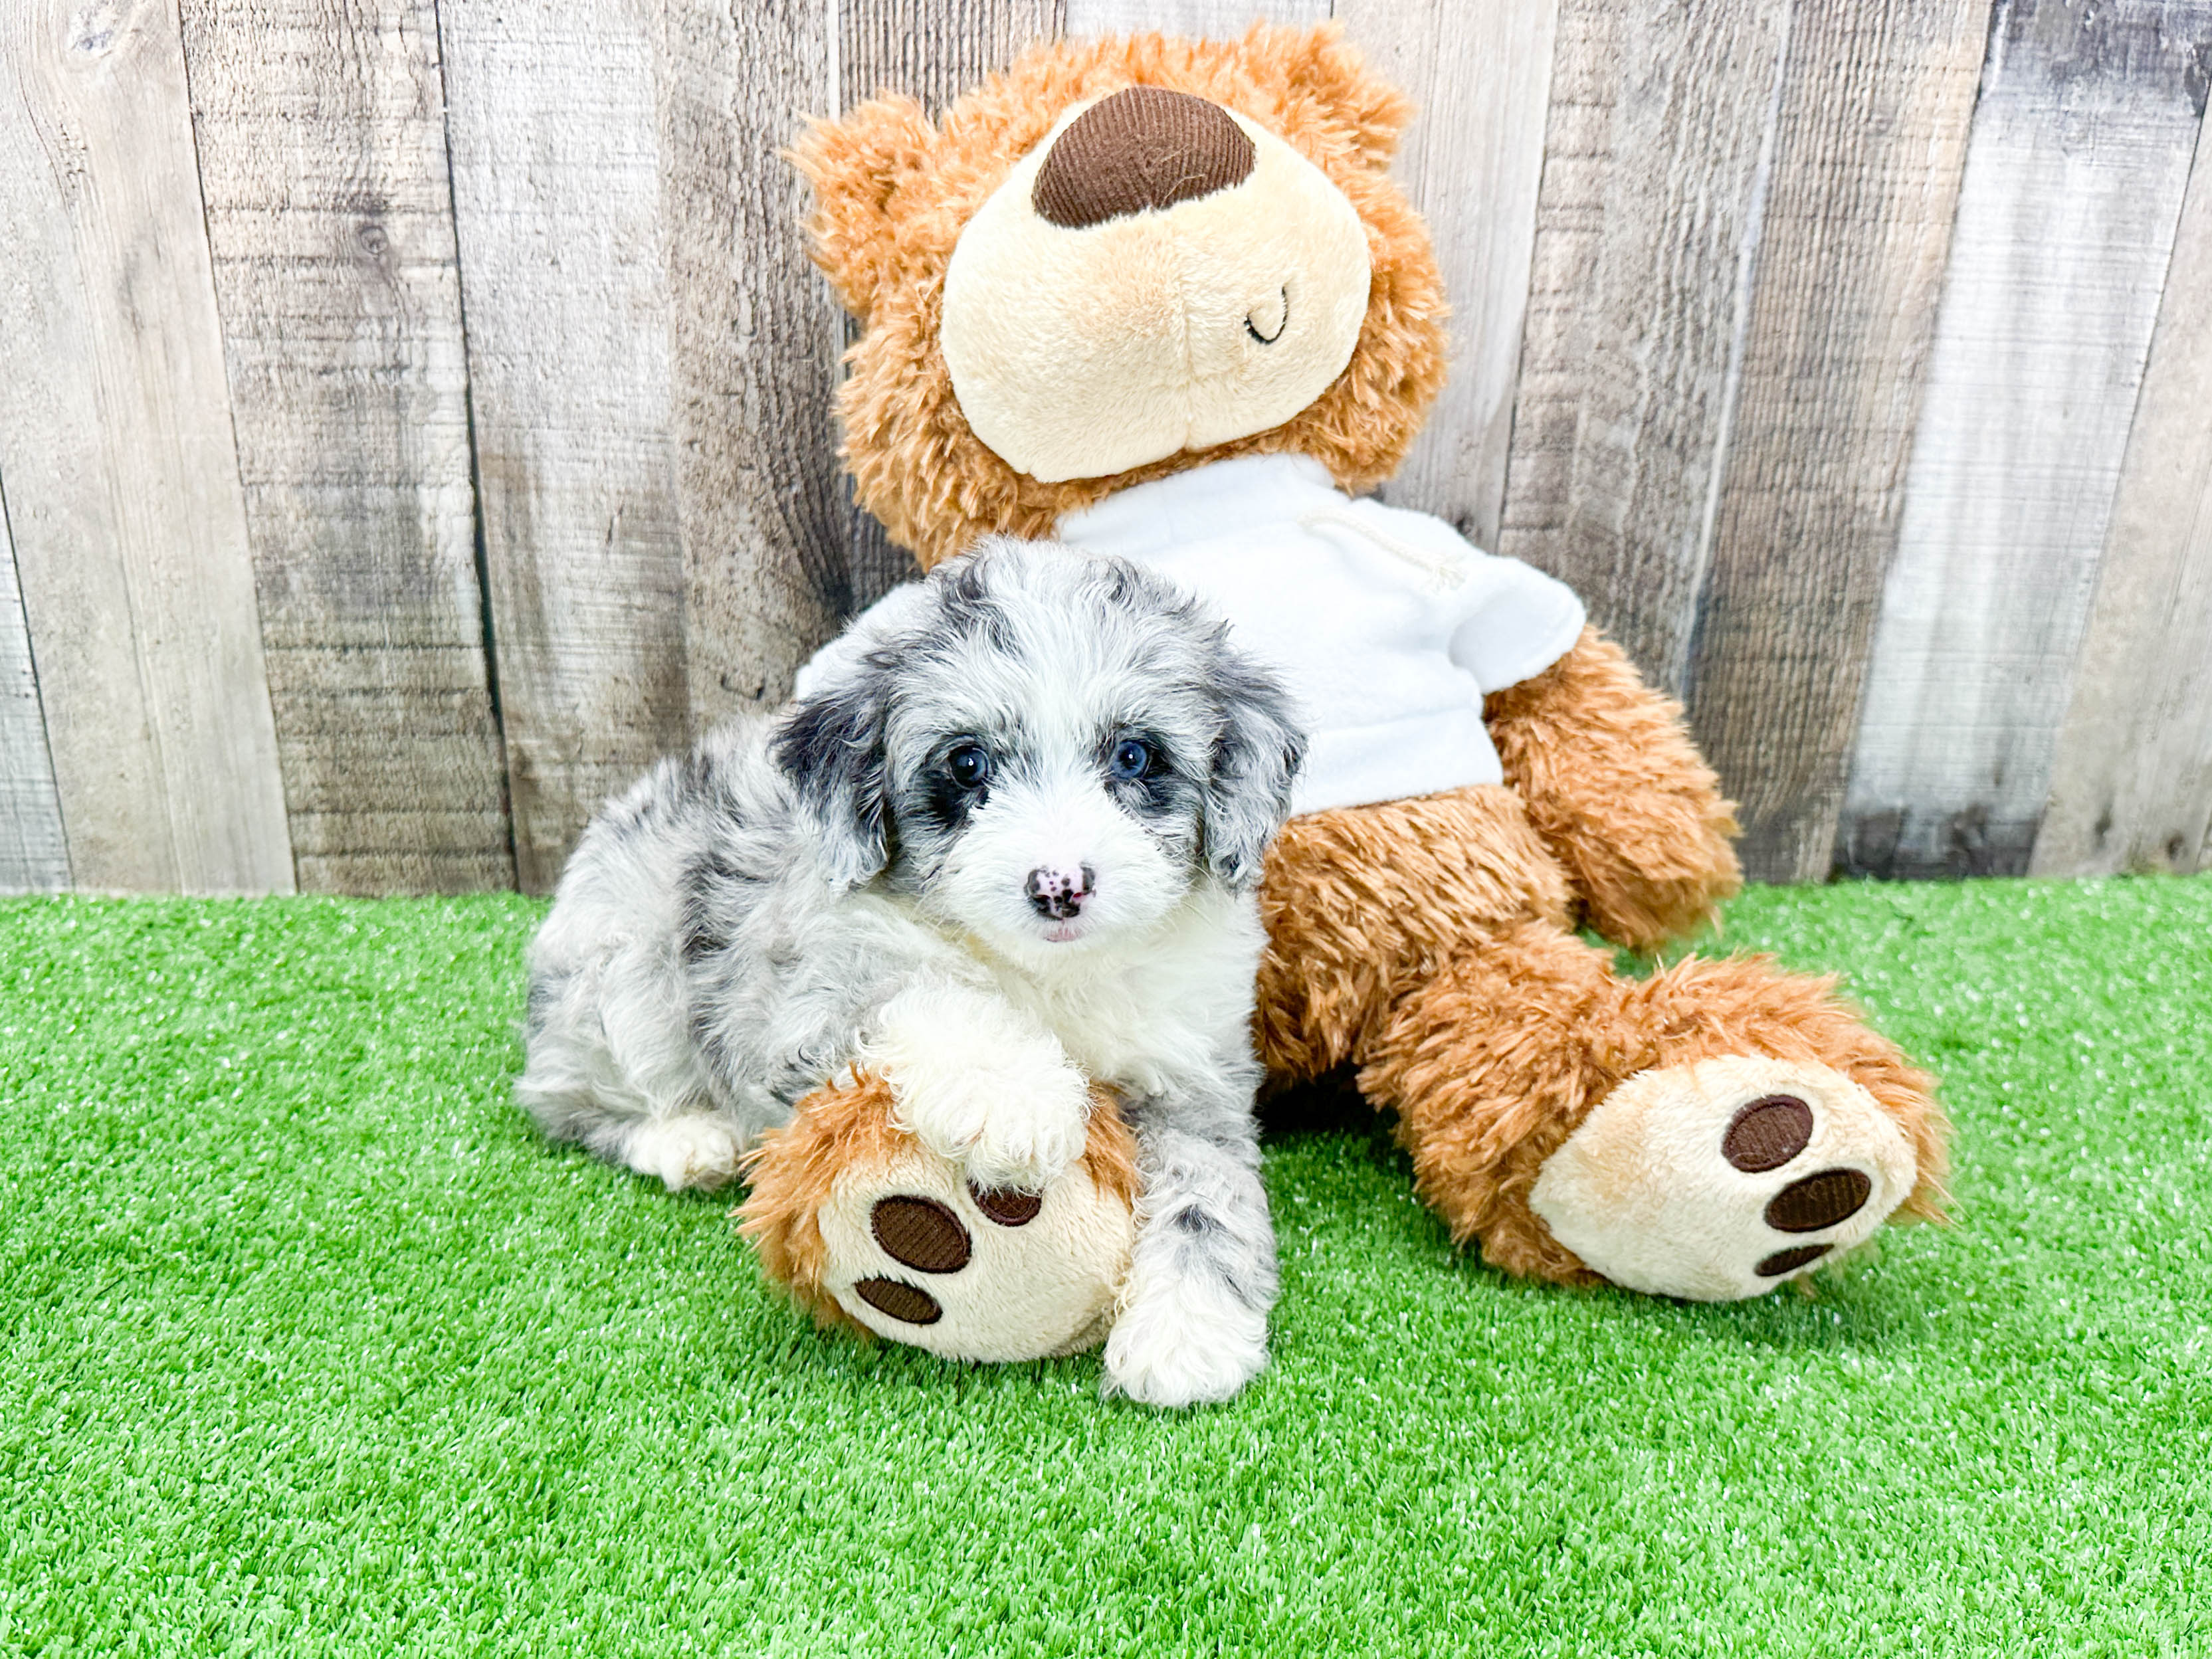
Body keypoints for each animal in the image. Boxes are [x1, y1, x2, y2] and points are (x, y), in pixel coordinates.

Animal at [520, 539, 1300, 1407]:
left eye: (1134, 756)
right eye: (966, 763)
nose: (1058, 885)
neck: (1050, 975)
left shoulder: (1196, 1071)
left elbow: (1209, 1189)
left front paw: (1186, 1333)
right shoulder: (803, 1001)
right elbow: (918, 990)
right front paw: (1015, 1096)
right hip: (623, 977)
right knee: (563, 1097)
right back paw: (685, 1139)